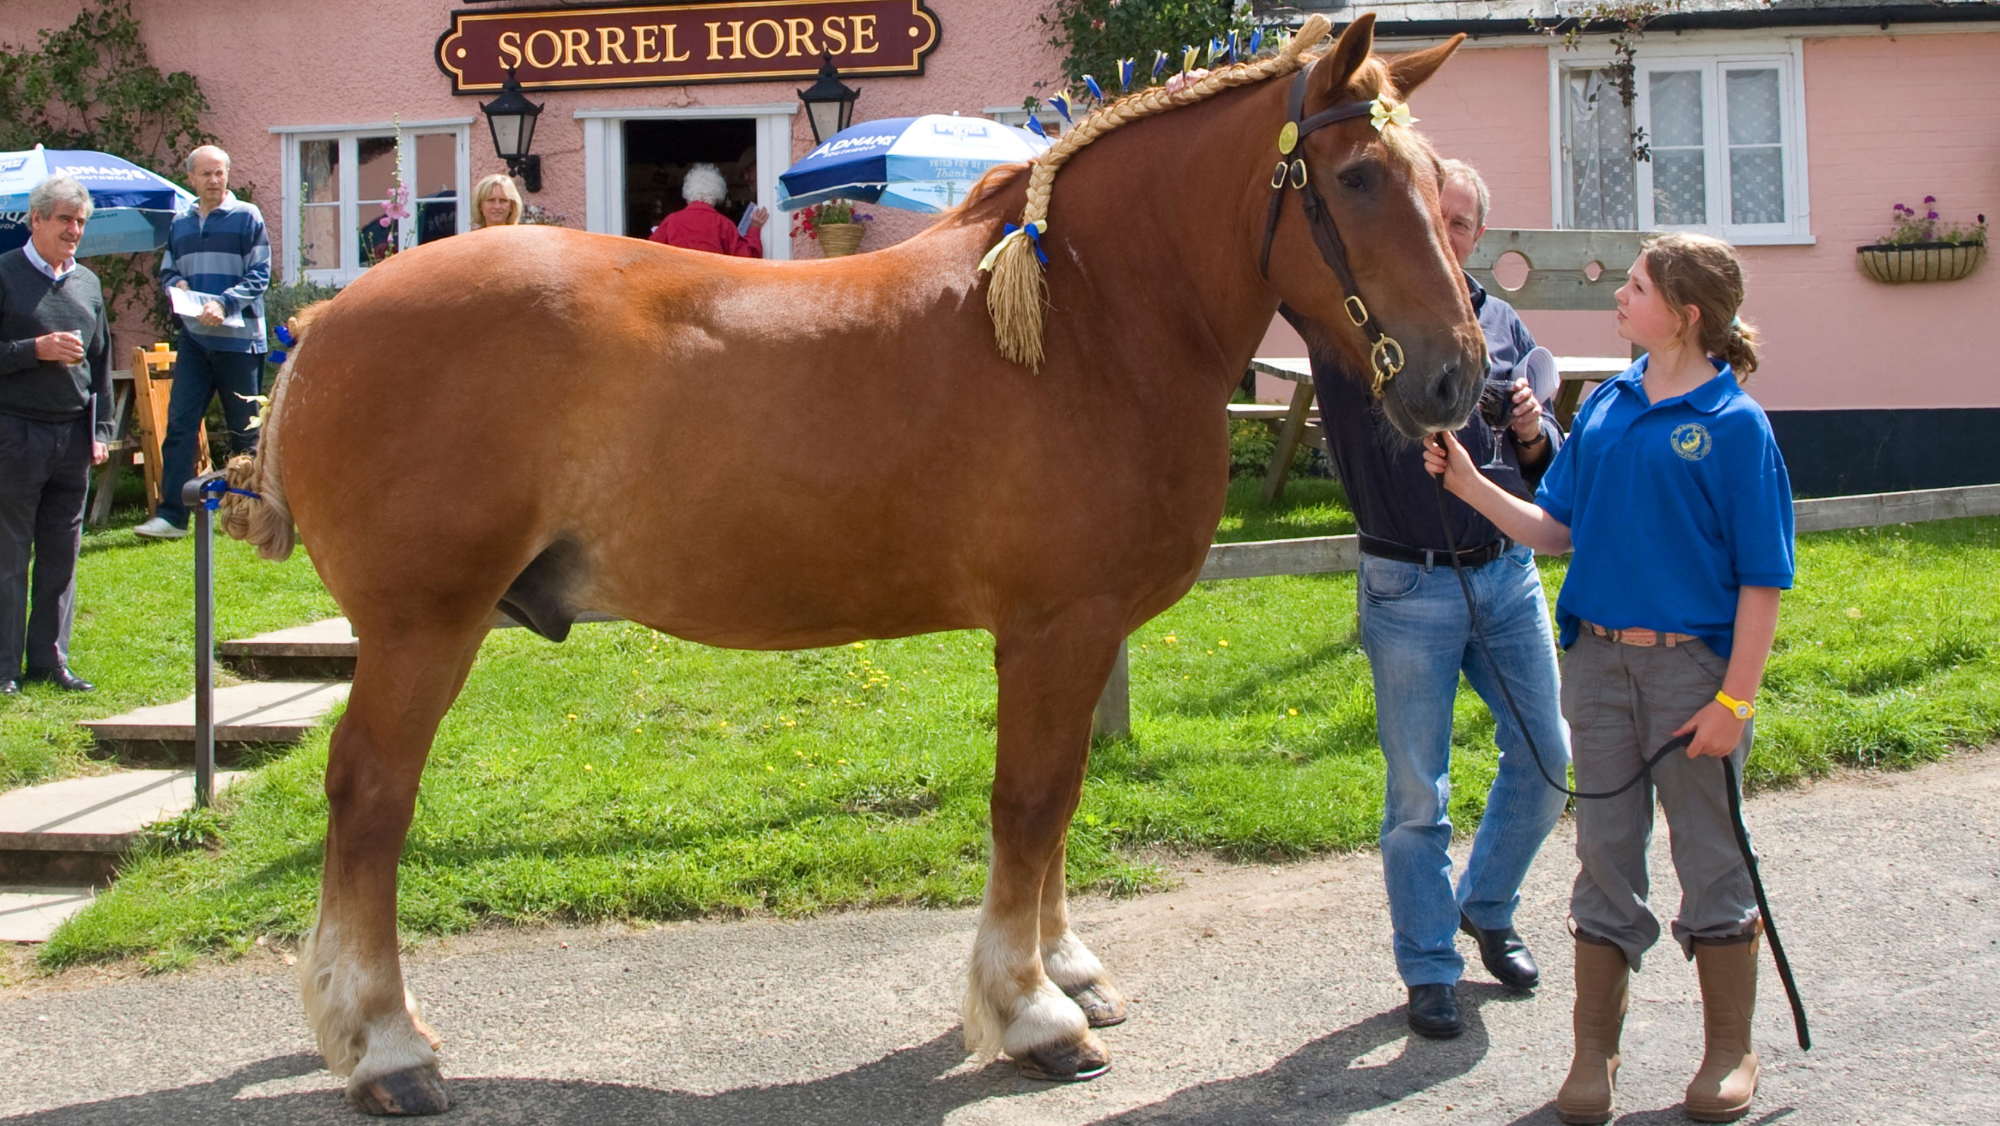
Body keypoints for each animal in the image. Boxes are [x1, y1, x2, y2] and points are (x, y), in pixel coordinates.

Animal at [223, 13, 1479, 1113]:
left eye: (1433, 182)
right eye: (1358, 179)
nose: (1456, 377)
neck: (1090, 320)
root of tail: (323, 322)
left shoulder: (1083, 634)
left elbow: (1064, 797)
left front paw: (1067, 967)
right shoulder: (1053, 628)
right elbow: (1028, 803)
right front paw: (1030, 1011)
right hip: (421, 629)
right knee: (370, 802)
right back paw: (386, 1047)